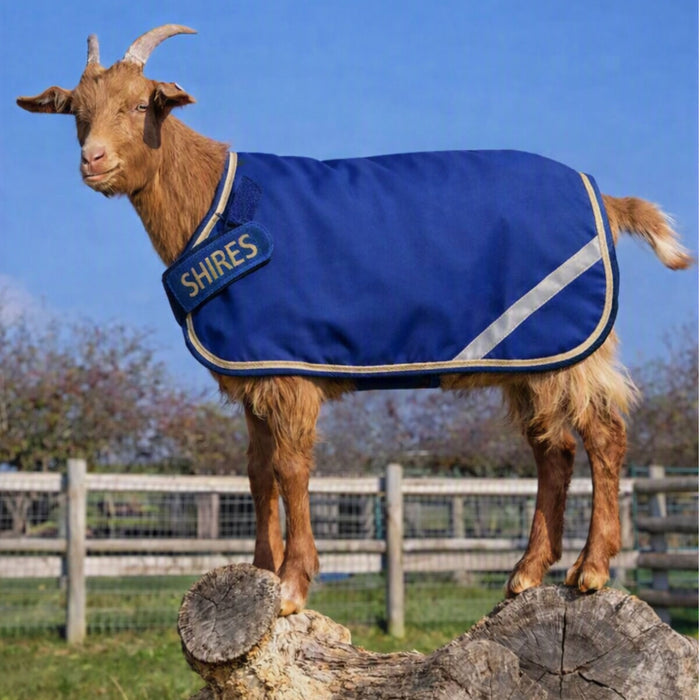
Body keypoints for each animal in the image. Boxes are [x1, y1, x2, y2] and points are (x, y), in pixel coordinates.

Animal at [18, 25, 690, 616]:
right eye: (77, 112)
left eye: (140, 104)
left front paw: (293, 585)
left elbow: (290, 469)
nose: (92, 159)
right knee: (554, 451)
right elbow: (256, 472)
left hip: (571, 346)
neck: (215, 206)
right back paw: (526, 575)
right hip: (531, 356)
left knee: (603, 434)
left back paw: (591, 570)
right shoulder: (252, 367)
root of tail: (605, 198)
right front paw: (261, 571)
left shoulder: (287, 369)